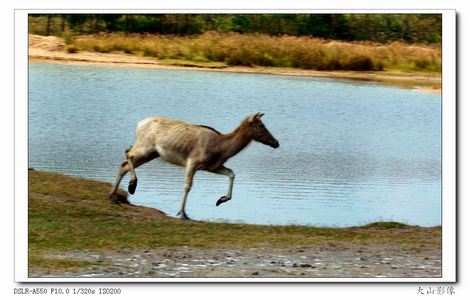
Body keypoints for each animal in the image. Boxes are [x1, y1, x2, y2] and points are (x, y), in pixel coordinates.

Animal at [110, 113, 280, 220]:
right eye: (260, 125)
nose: (276, 142)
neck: (221, 149)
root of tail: (138, 124)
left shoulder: (213, 166)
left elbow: (231, 173)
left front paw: (220, 200)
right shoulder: (193, 162)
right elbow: (188, 186)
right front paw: (182, 213)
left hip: (152, 154)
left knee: (124, 164)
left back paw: (113, 195)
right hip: (145, 147)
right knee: (127, 153)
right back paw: (132, 185)